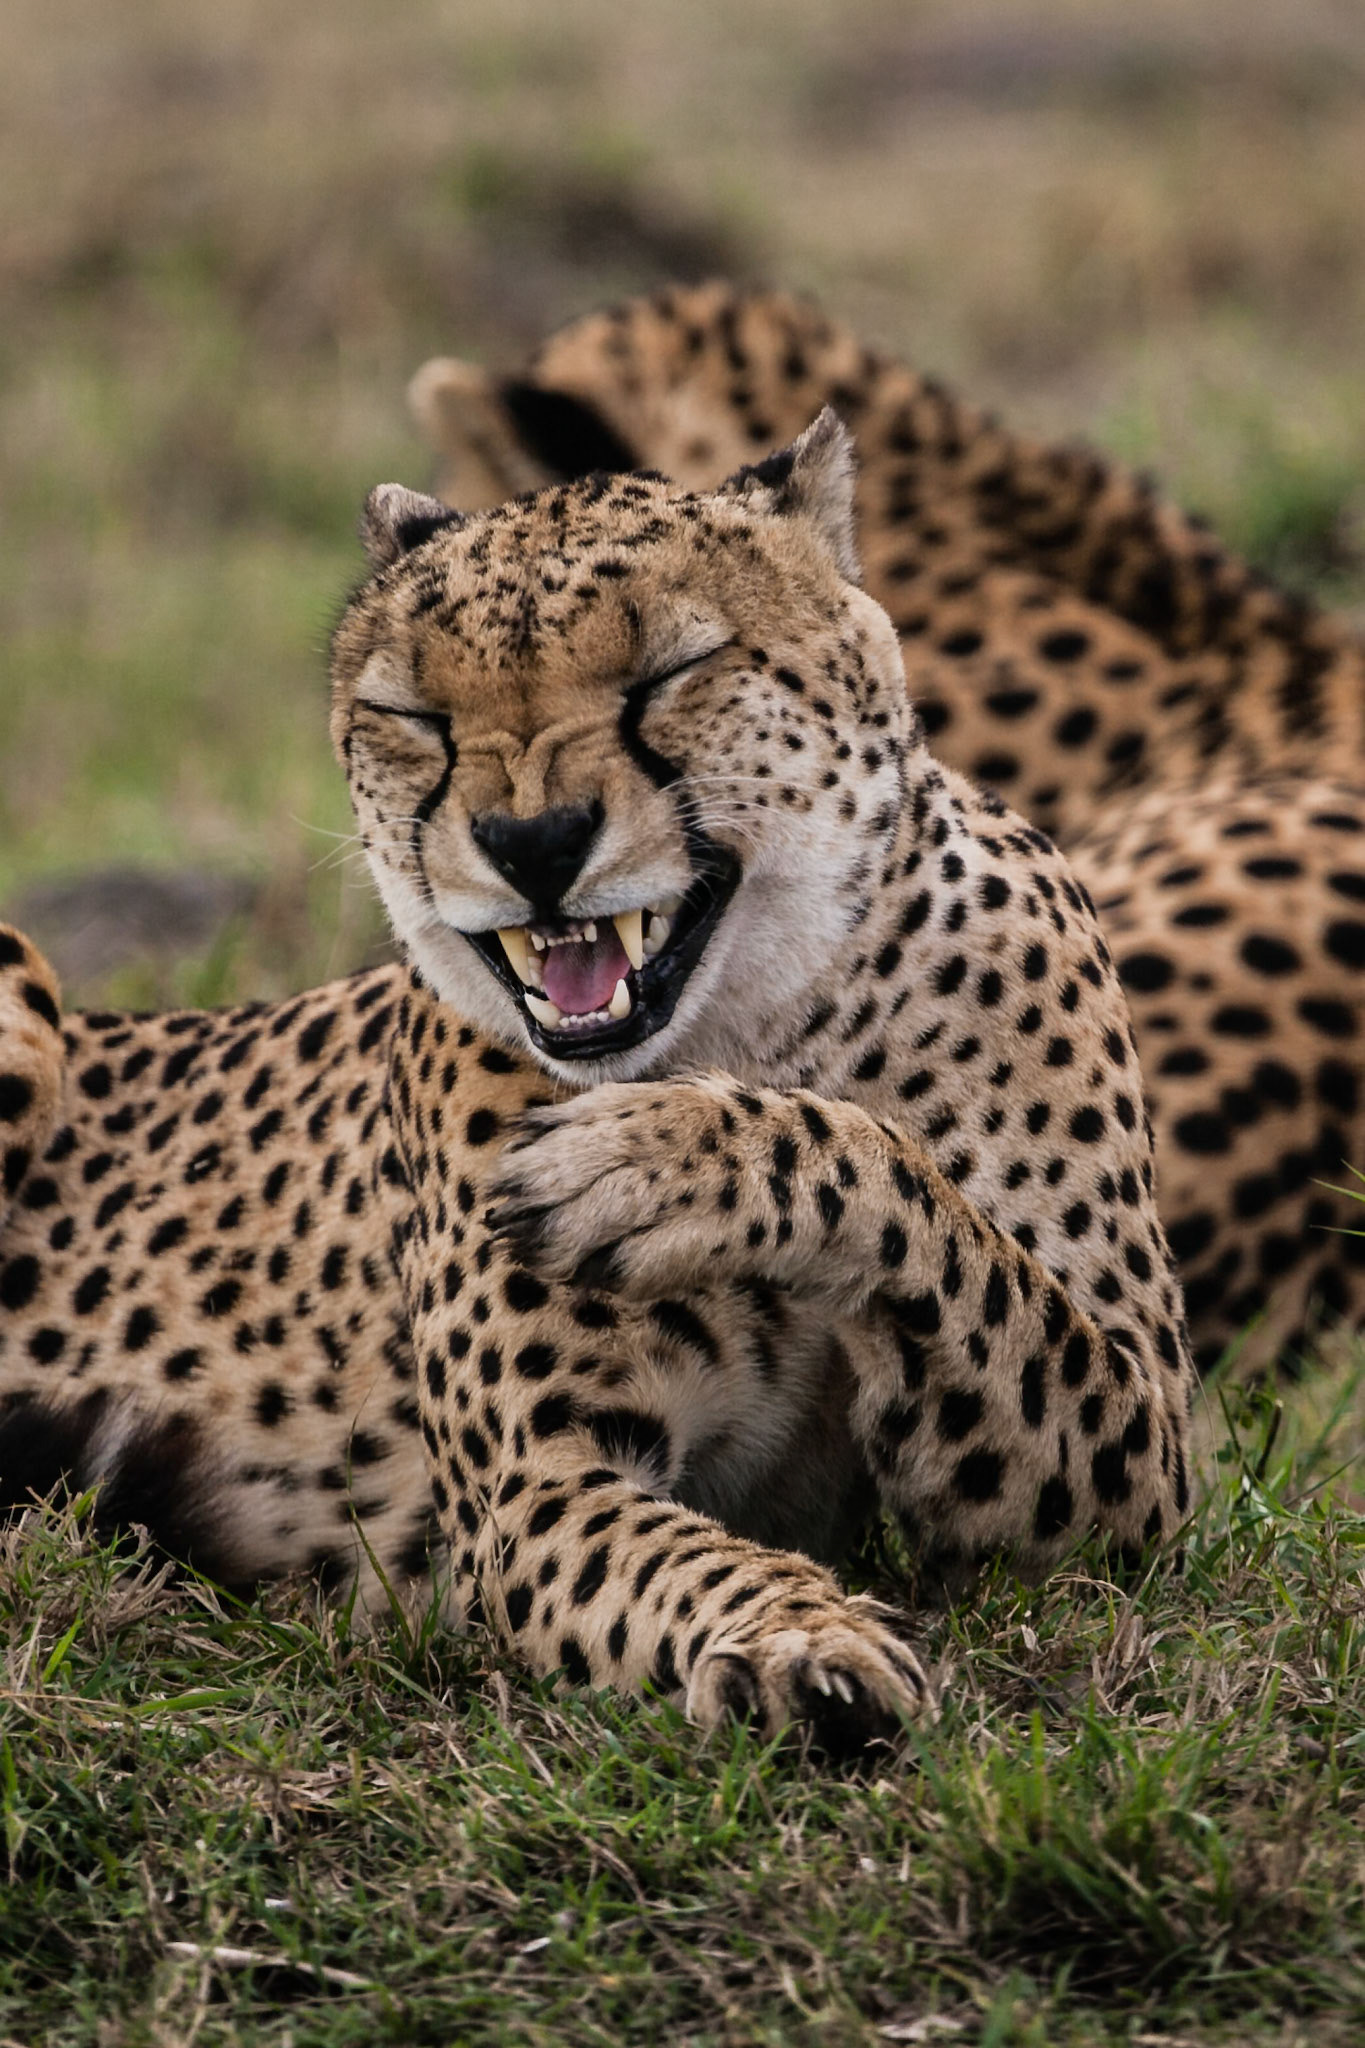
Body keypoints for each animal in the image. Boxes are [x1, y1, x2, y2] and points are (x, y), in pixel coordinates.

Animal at [0, 411, 1193, 1750]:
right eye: (418, 715)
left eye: (670, 673)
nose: (533, 843)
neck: (754, 1028)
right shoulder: (536, 1485)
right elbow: (690, 1559)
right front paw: (804, 1635)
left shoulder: (1143, 1459)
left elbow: (928, 1209)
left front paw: (659, 1163)